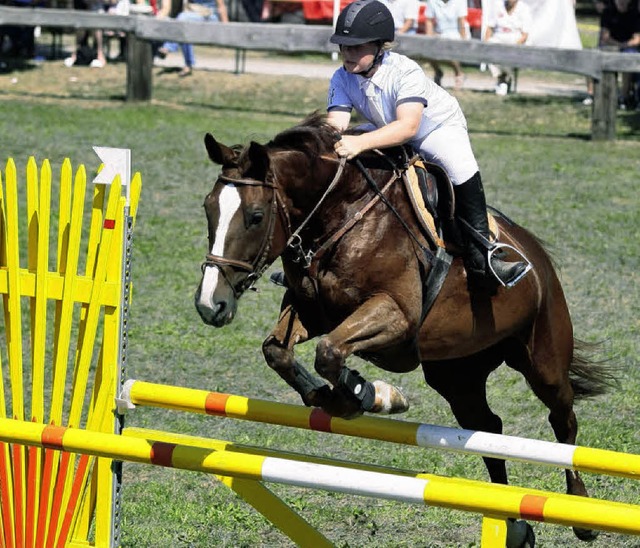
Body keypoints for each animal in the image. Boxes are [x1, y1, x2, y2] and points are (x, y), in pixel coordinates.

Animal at [195, 112, 616, 548]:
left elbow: (330, 351)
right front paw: (334, 397)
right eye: (208, 209)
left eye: (255, 217)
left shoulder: (394, 313)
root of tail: (535, 256)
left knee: (562, 418)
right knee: (489, 429)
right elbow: (280, 351)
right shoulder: (312, 310)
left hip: (542, 359)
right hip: (458, 375)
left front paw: (374, 395)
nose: (210, 305)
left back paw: (581, 512)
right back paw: (513, 524)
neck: (342, 214)